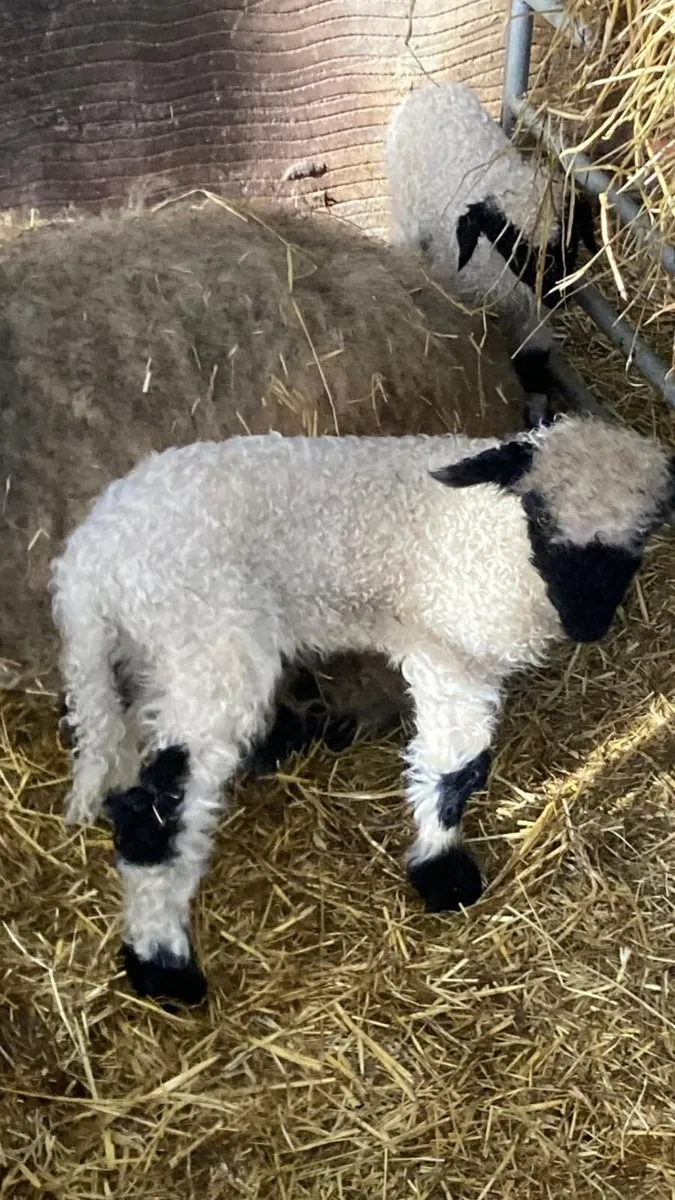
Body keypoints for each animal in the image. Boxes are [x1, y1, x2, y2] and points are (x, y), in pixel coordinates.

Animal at [52, 415, 675, 1006]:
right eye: (538, 517)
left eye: (641, 537)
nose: (586, 624)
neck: (494, 540)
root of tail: (83, 568)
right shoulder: (447, 652)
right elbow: (456, 767)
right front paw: (441, 871)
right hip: (206, 644)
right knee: (155, 809)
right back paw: (163, 967)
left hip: (153, 657)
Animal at [385, 82, 597, 420]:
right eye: (515, 246)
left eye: (569, 242)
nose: (556, 296)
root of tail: (430, 89)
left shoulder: (531, 313)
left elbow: (533, 359)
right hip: (405, 207)